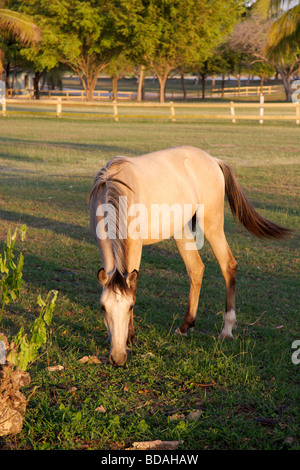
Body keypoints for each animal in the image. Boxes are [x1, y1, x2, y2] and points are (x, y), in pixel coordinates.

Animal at [89, 145, 290, 366]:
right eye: (103, 308)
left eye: (131, 306)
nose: (117, 358)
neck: (119, 190)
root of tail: (213, 160)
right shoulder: (102, 241)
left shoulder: (134, 245)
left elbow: (132, 286)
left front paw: (129, 337)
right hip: (181, 230)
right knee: (196, 269)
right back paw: (186, 326)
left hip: (211, 224)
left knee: (228, 265)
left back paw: (227, 330)